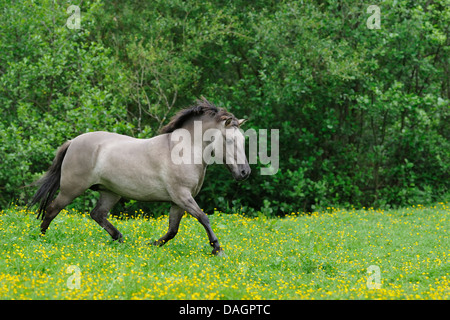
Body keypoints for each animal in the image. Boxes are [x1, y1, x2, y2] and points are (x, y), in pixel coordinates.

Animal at [29, 97, 251, 255]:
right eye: (230, 140)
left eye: (243, 140)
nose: (245, 172)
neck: (184, 150)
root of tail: (73, 141)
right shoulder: (182, 196)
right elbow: (203, 218)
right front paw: (217, 249)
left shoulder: (178, 201)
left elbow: (173, 230)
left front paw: (151, 244)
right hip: (72, 188)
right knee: (52, 209)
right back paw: (41, 239)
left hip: (110, 192)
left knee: (97, 214)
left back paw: (120, 239)